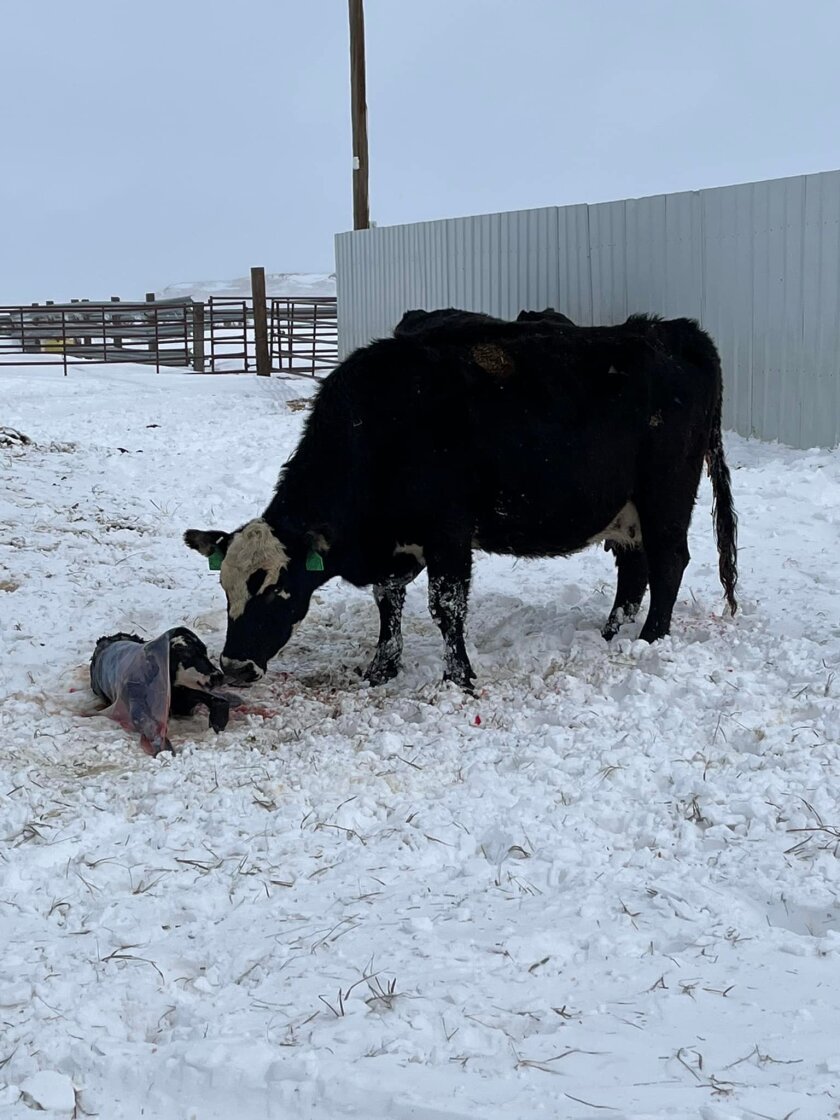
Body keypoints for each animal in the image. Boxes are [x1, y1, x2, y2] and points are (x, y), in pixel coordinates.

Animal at [183, 311, 734, 685]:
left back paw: (649, 639)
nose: (234, 666)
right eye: (226, 590)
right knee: (633, 570)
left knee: (669, 562)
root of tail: (671, 331)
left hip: (665, 497)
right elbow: (389, 604)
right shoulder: (396, 546)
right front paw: (381, 668)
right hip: (625, 509)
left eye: (278, 590)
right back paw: (610, 635)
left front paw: (458, 678)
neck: (380, 425)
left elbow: (446, 607)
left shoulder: (448, 534)